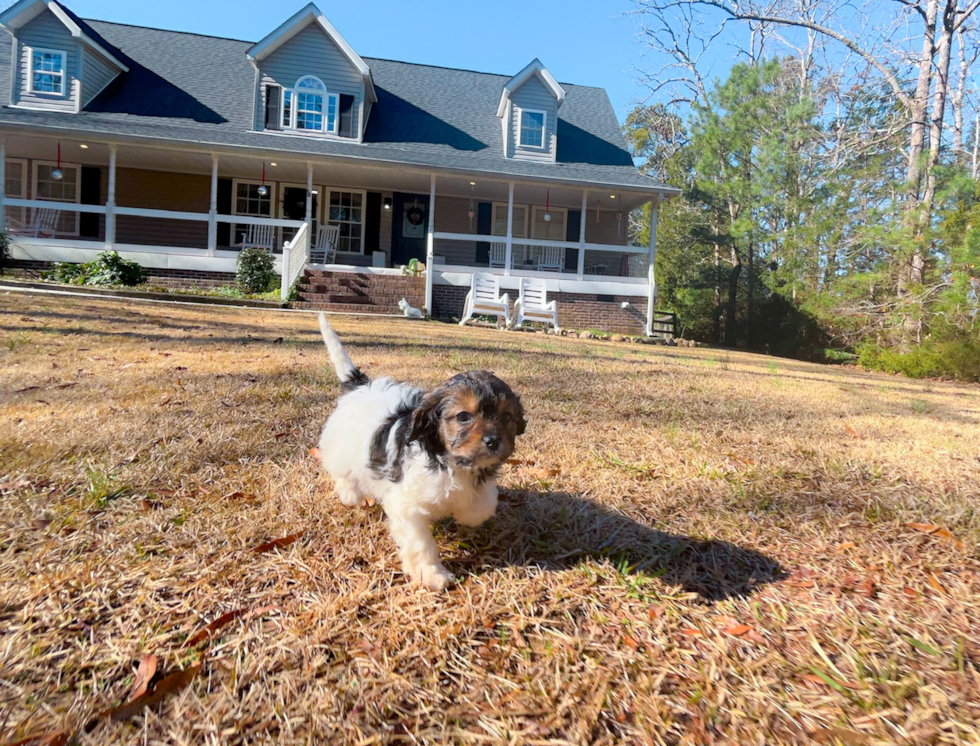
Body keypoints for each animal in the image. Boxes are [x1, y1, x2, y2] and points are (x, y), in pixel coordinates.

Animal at [318, 310, 524, 588]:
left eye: (506, 417)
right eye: (463, 417)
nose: (492, 441)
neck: (450, 462)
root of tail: (361, 386)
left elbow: (483, 504)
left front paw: (466, 515)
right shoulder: (407, 506)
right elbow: (420, 542)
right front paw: (432, 573)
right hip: (341, 447)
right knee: (342, 472)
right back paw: (350, 494)